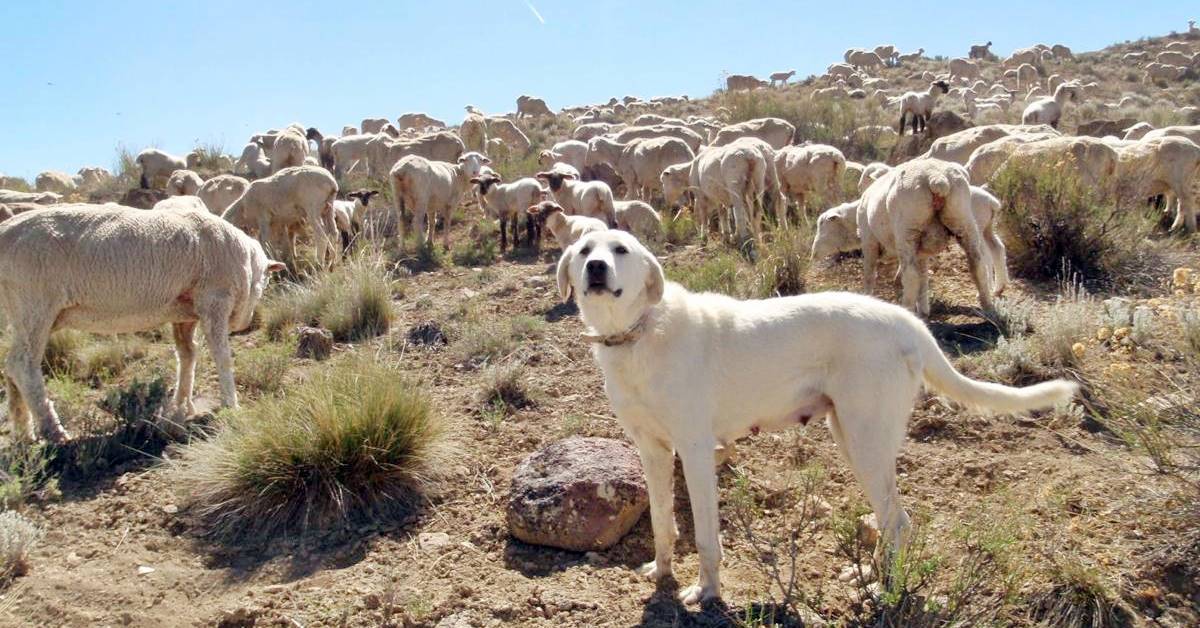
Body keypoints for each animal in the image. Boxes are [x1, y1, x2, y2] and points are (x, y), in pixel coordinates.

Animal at [0, 205, 284, 441]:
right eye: (266, 281)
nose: (245, 322)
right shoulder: (214, 298)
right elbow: (221, 355)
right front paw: (231, 404)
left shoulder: (185, 312)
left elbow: (187, 354)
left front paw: (181, 405)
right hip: (35, 305)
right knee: (23, 365)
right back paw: (54, 431)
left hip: (25, 312)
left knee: (11, 365)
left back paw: (24, 432)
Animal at [556, 229, 1084, 605]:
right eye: (583, 250)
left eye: (620, 250)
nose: (597, 268)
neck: (637, 334)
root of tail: (908, 322)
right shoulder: (653, 451)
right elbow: (664, 524)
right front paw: (661, 574)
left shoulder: (696, 451)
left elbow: (706, 536)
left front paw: (707, 593)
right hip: (852, 438)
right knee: (891, 519)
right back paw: (870, 576)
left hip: (866, 442)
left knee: (898, 522)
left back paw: (886, 592)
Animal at [859, 159, 998, 317]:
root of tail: (937, 178)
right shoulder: (922, 252)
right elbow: (924, 278)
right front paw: (924, 310)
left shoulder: (868, 241)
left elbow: (869, 276)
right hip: (964, 219)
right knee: (978, 265)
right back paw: (989, 309)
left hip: (908, 230)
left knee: (911, 276)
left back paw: (907, 309)